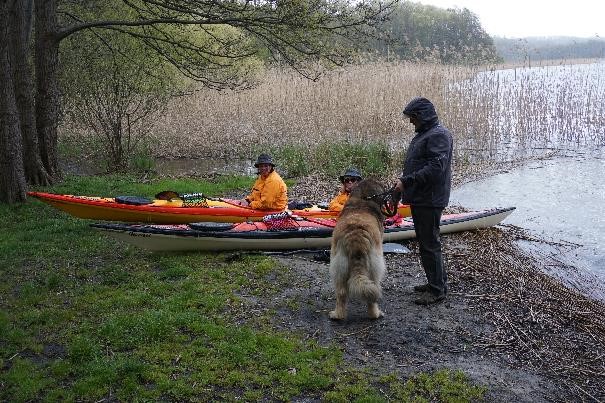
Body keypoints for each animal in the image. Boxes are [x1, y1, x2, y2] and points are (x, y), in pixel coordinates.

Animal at [328, 180, 384, 322]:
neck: (362, 200)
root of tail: (356, 236)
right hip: (375, 266)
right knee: (373, 291)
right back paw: (375, 314)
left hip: (339, 266)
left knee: (341, 293)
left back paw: (337, 315)